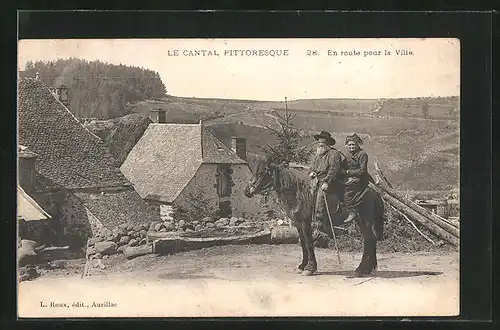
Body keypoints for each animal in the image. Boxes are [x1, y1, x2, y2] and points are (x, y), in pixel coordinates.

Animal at [244, 156, 384, 278]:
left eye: (261, 173)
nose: (247, 191)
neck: (298, 193)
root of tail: (374, 193)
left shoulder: (305, 223)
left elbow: (309, 243)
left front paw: (310, 268)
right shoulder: (298, 223)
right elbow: (302, 243)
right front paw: (302, 266)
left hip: (364, 222)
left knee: (369, 240)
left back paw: (361, 269)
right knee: (371, 240)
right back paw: (367, 269)